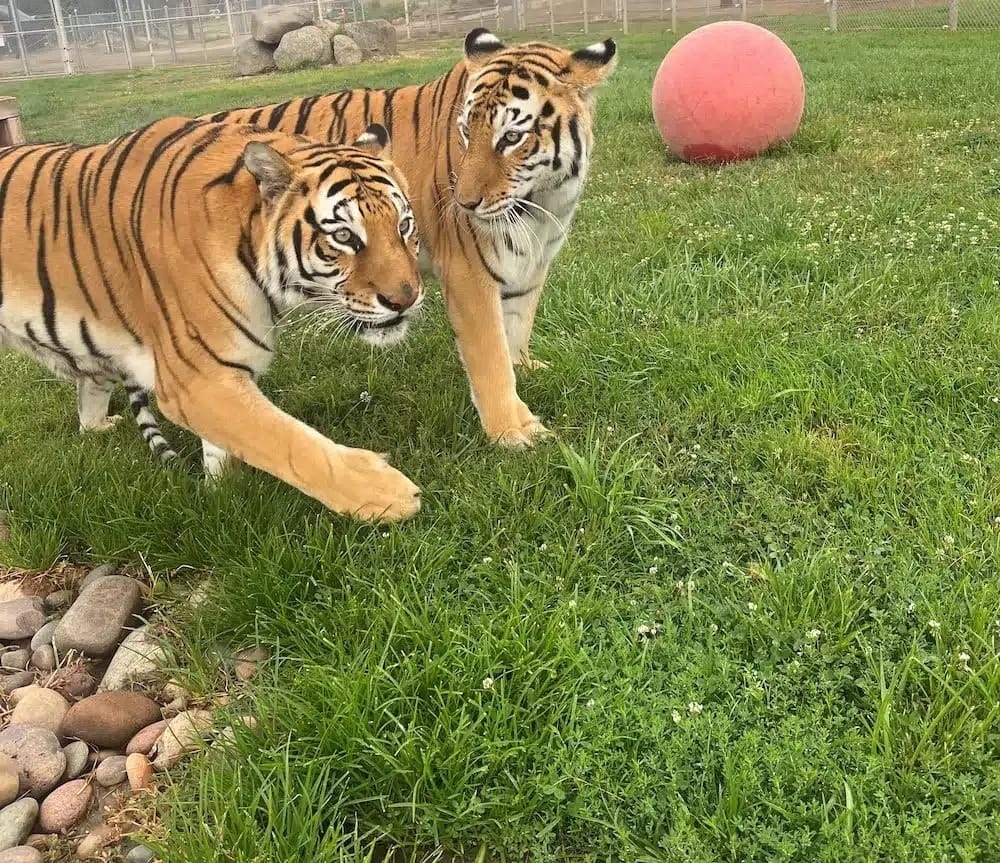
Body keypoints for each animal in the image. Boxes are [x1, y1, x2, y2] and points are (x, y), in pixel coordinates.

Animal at [0, 117, 423, 522]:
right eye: (344, 236)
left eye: (403, 226)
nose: (406, 299)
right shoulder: (196, 381)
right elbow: (284, 441)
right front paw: (385, 495)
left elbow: (227, 447)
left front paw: (221, 495)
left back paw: (99, 426)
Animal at [204, 28, 617, 447]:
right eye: (466, 132)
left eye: (512, 137)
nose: (464, 203)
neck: (544, 200)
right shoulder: (468, 273)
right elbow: (491, 356)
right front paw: (511, 431)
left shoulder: (531, 265)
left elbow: (517, 327)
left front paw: (526, 370)